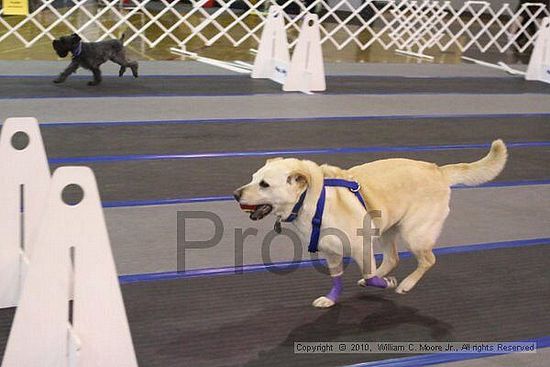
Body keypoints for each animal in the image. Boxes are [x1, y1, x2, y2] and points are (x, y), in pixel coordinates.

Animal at [233, 141, 508, 308]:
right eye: (253, 178)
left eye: (264, 184)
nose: (235, 194)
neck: (311, 198)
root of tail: (438, 170)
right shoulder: (331, 252)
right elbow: (338, 279)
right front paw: (331, 299)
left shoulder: (360, 246)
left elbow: (369, 272)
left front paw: (387, 283)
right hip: (386, 229)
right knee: (393, 258)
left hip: (414, 233)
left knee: (428, 260)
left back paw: (405, 284)